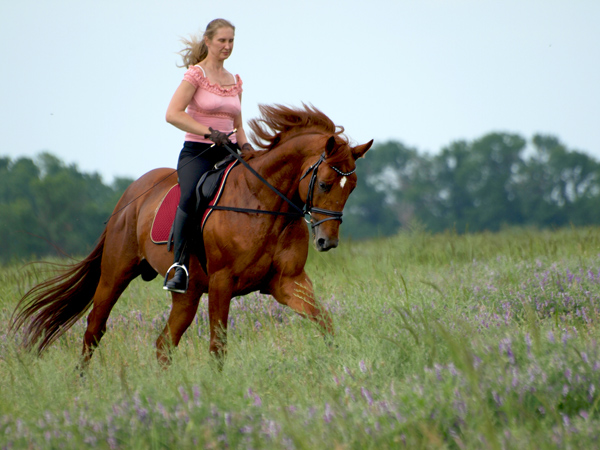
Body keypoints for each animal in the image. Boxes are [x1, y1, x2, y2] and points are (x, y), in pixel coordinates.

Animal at [10, 103, 370, 368]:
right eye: (324, 183)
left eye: (352, 187)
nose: (327, 242)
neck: (263, 204)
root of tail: (130, 195)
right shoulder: (223, 283)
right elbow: (218, 344)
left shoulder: (289, 282)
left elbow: (325, 323)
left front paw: (339, 365)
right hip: (115, 274)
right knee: (95, 329)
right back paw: (81, 385)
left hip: (188, 292)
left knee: (163, 343)